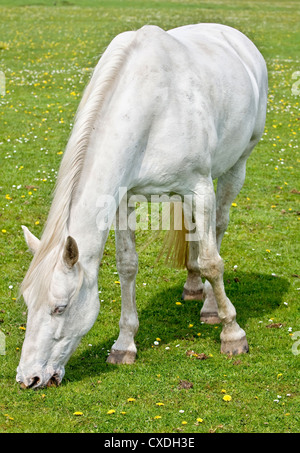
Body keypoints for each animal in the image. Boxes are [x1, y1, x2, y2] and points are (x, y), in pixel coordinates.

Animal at [16, 23, 268, 386]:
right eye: (26, 302)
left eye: (59, 308)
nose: (28, 378)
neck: (151, 109)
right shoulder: (123, 199)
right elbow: (127, 266)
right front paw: (124, 346)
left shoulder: (201, 188)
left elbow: (212, 262)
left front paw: (232, 334)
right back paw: (193, 287)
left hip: (236, 166)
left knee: (218, 228)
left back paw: (210, 306)